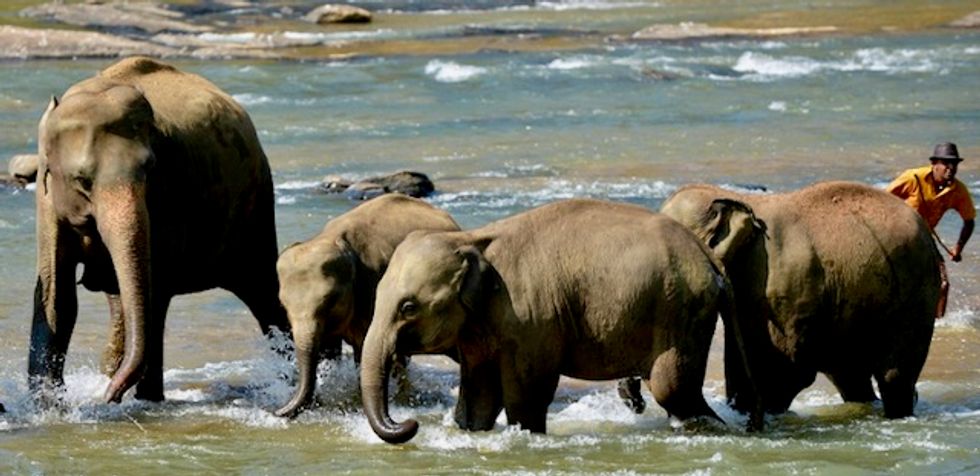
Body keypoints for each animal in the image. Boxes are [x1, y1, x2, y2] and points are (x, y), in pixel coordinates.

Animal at [31, 56, 290, 405]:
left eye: (150, 170)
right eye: (82, 180)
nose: (109, 398)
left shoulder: (169, 198)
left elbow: (154, 291)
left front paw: (144, 401)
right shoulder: (46, 203)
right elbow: (57, 295)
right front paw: (46, 403)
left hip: (256, 204)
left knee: (263, 291)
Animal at [274, 193, 460, 418]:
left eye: (331, 301)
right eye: (283, 306)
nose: (276, 410)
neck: (332, 238)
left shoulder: (373, 286)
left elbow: (365, 349)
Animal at [360, 198, 760, 444]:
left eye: (408, 307)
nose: (409, 423)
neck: (471, 240)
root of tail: (710, 260)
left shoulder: (531, 318)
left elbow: (526, 394)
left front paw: (526, 437)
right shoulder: (482, 327)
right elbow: (479, 397)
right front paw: (471, 431)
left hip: (680, 311)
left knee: (671, 387)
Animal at [658, 181, 940, 419]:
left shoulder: (787, 287)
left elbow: (786, 368)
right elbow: (742, 358)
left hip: (916, 294)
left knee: (895, 375)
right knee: (849, 375)